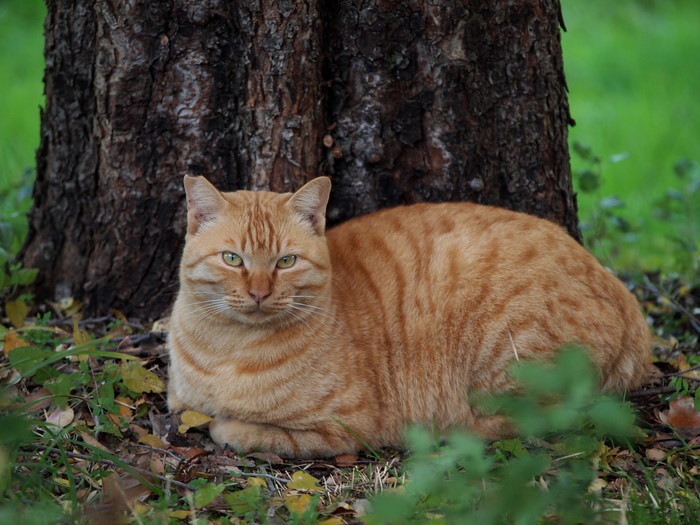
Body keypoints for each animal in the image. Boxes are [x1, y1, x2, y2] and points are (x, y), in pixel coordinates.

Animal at [168, 175, 652, 454]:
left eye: (286, 262)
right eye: (233, 259)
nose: (259, 293)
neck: (227, 350)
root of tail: (627, 301)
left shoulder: (348, 426)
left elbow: (249, 432)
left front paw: (230, 427)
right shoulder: (180, 399)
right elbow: (185, 408)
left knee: (539, 420)